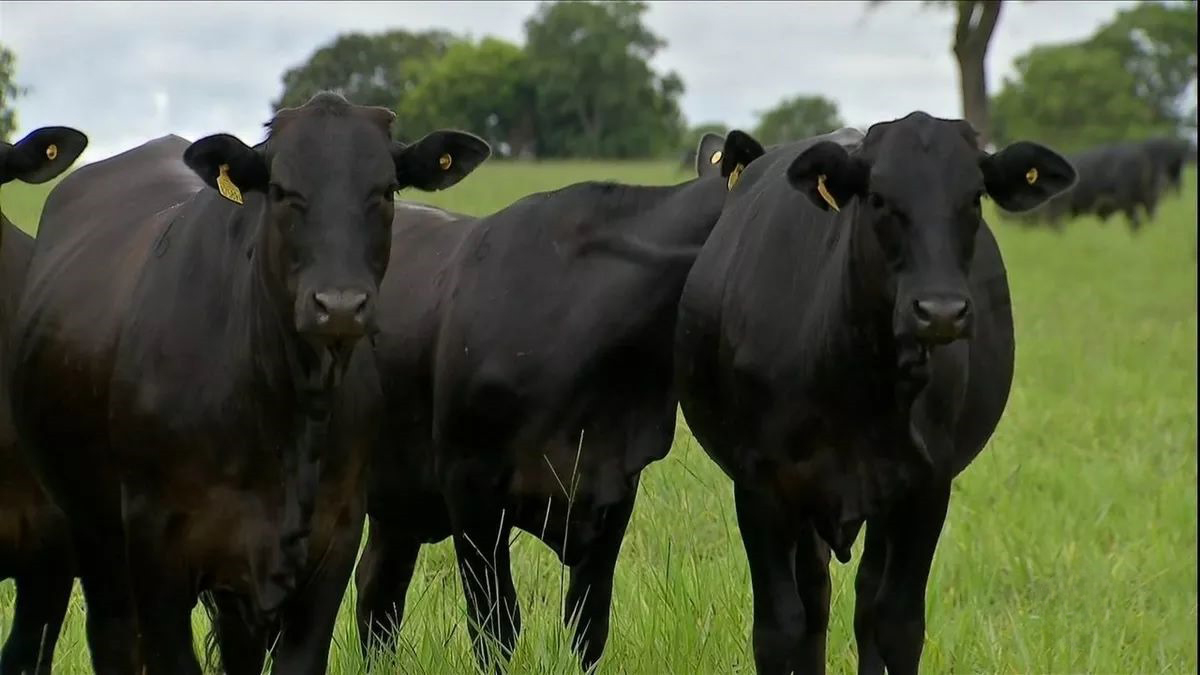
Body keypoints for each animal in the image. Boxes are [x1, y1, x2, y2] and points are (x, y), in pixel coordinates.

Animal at [7, 92, 488, 675]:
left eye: (386, 190)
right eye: (281, 190)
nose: (340, 305)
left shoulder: (331, 544)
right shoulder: (155, 547)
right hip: (94, 537)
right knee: (114, 638)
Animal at [674, 112, 1075, 675]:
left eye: (974, 197)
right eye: (880, 198)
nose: (941, 311)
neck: (859, 381)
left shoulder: (925, 487)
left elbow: (898, 623)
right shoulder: (761, 487)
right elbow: (780, 628)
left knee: (865, 600)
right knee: (816, 600)